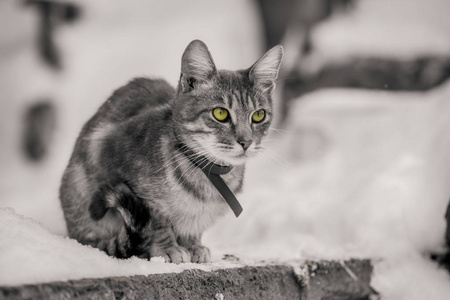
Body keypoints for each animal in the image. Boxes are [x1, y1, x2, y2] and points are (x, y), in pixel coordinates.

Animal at [59, 39, 284, 262]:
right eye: (220, 113)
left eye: (259, 115)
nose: (246, 142)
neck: (208, 175)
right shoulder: (114, 162)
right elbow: (155, 222)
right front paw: (167, 248)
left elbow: (192, 227)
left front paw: (193, 245)